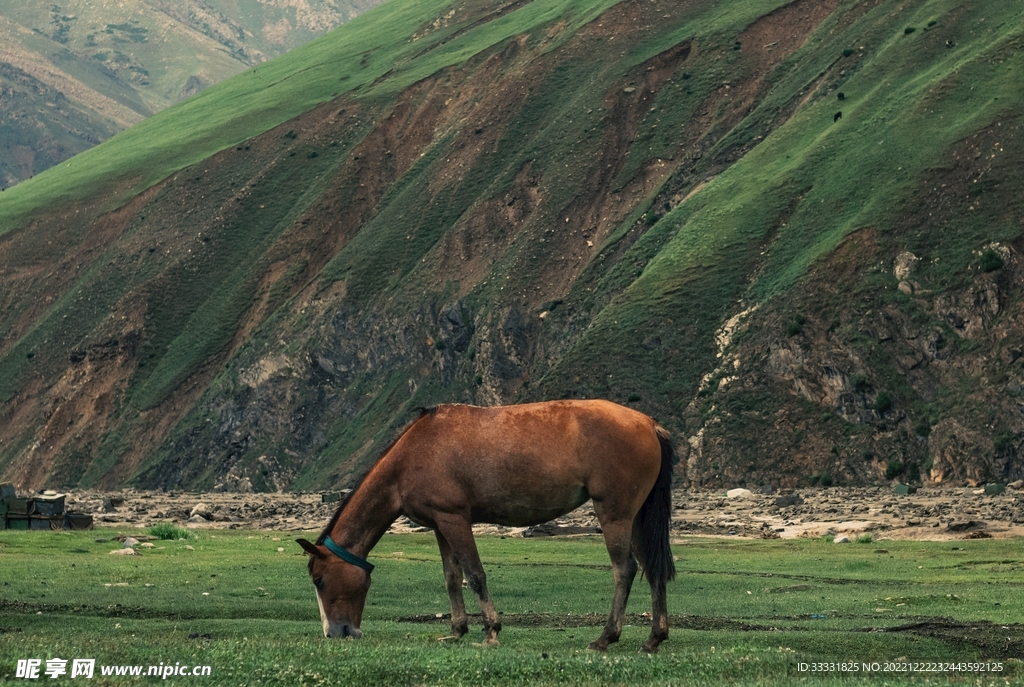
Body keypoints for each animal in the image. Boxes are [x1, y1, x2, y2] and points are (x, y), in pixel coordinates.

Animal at [297, 399, 676, 653]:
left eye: (319, 580)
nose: (335, 632)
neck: (412, 456)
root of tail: (649, 423)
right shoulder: (440, 524)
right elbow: (452, 578)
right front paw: (456, 630)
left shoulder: (455, 519)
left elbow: (475, 575)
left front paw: (491, 630)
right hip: (637, 518)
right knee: (653, 569)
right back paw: (653, 639)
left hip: (615, 514)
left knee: (624, 570)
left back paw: (605, 638)